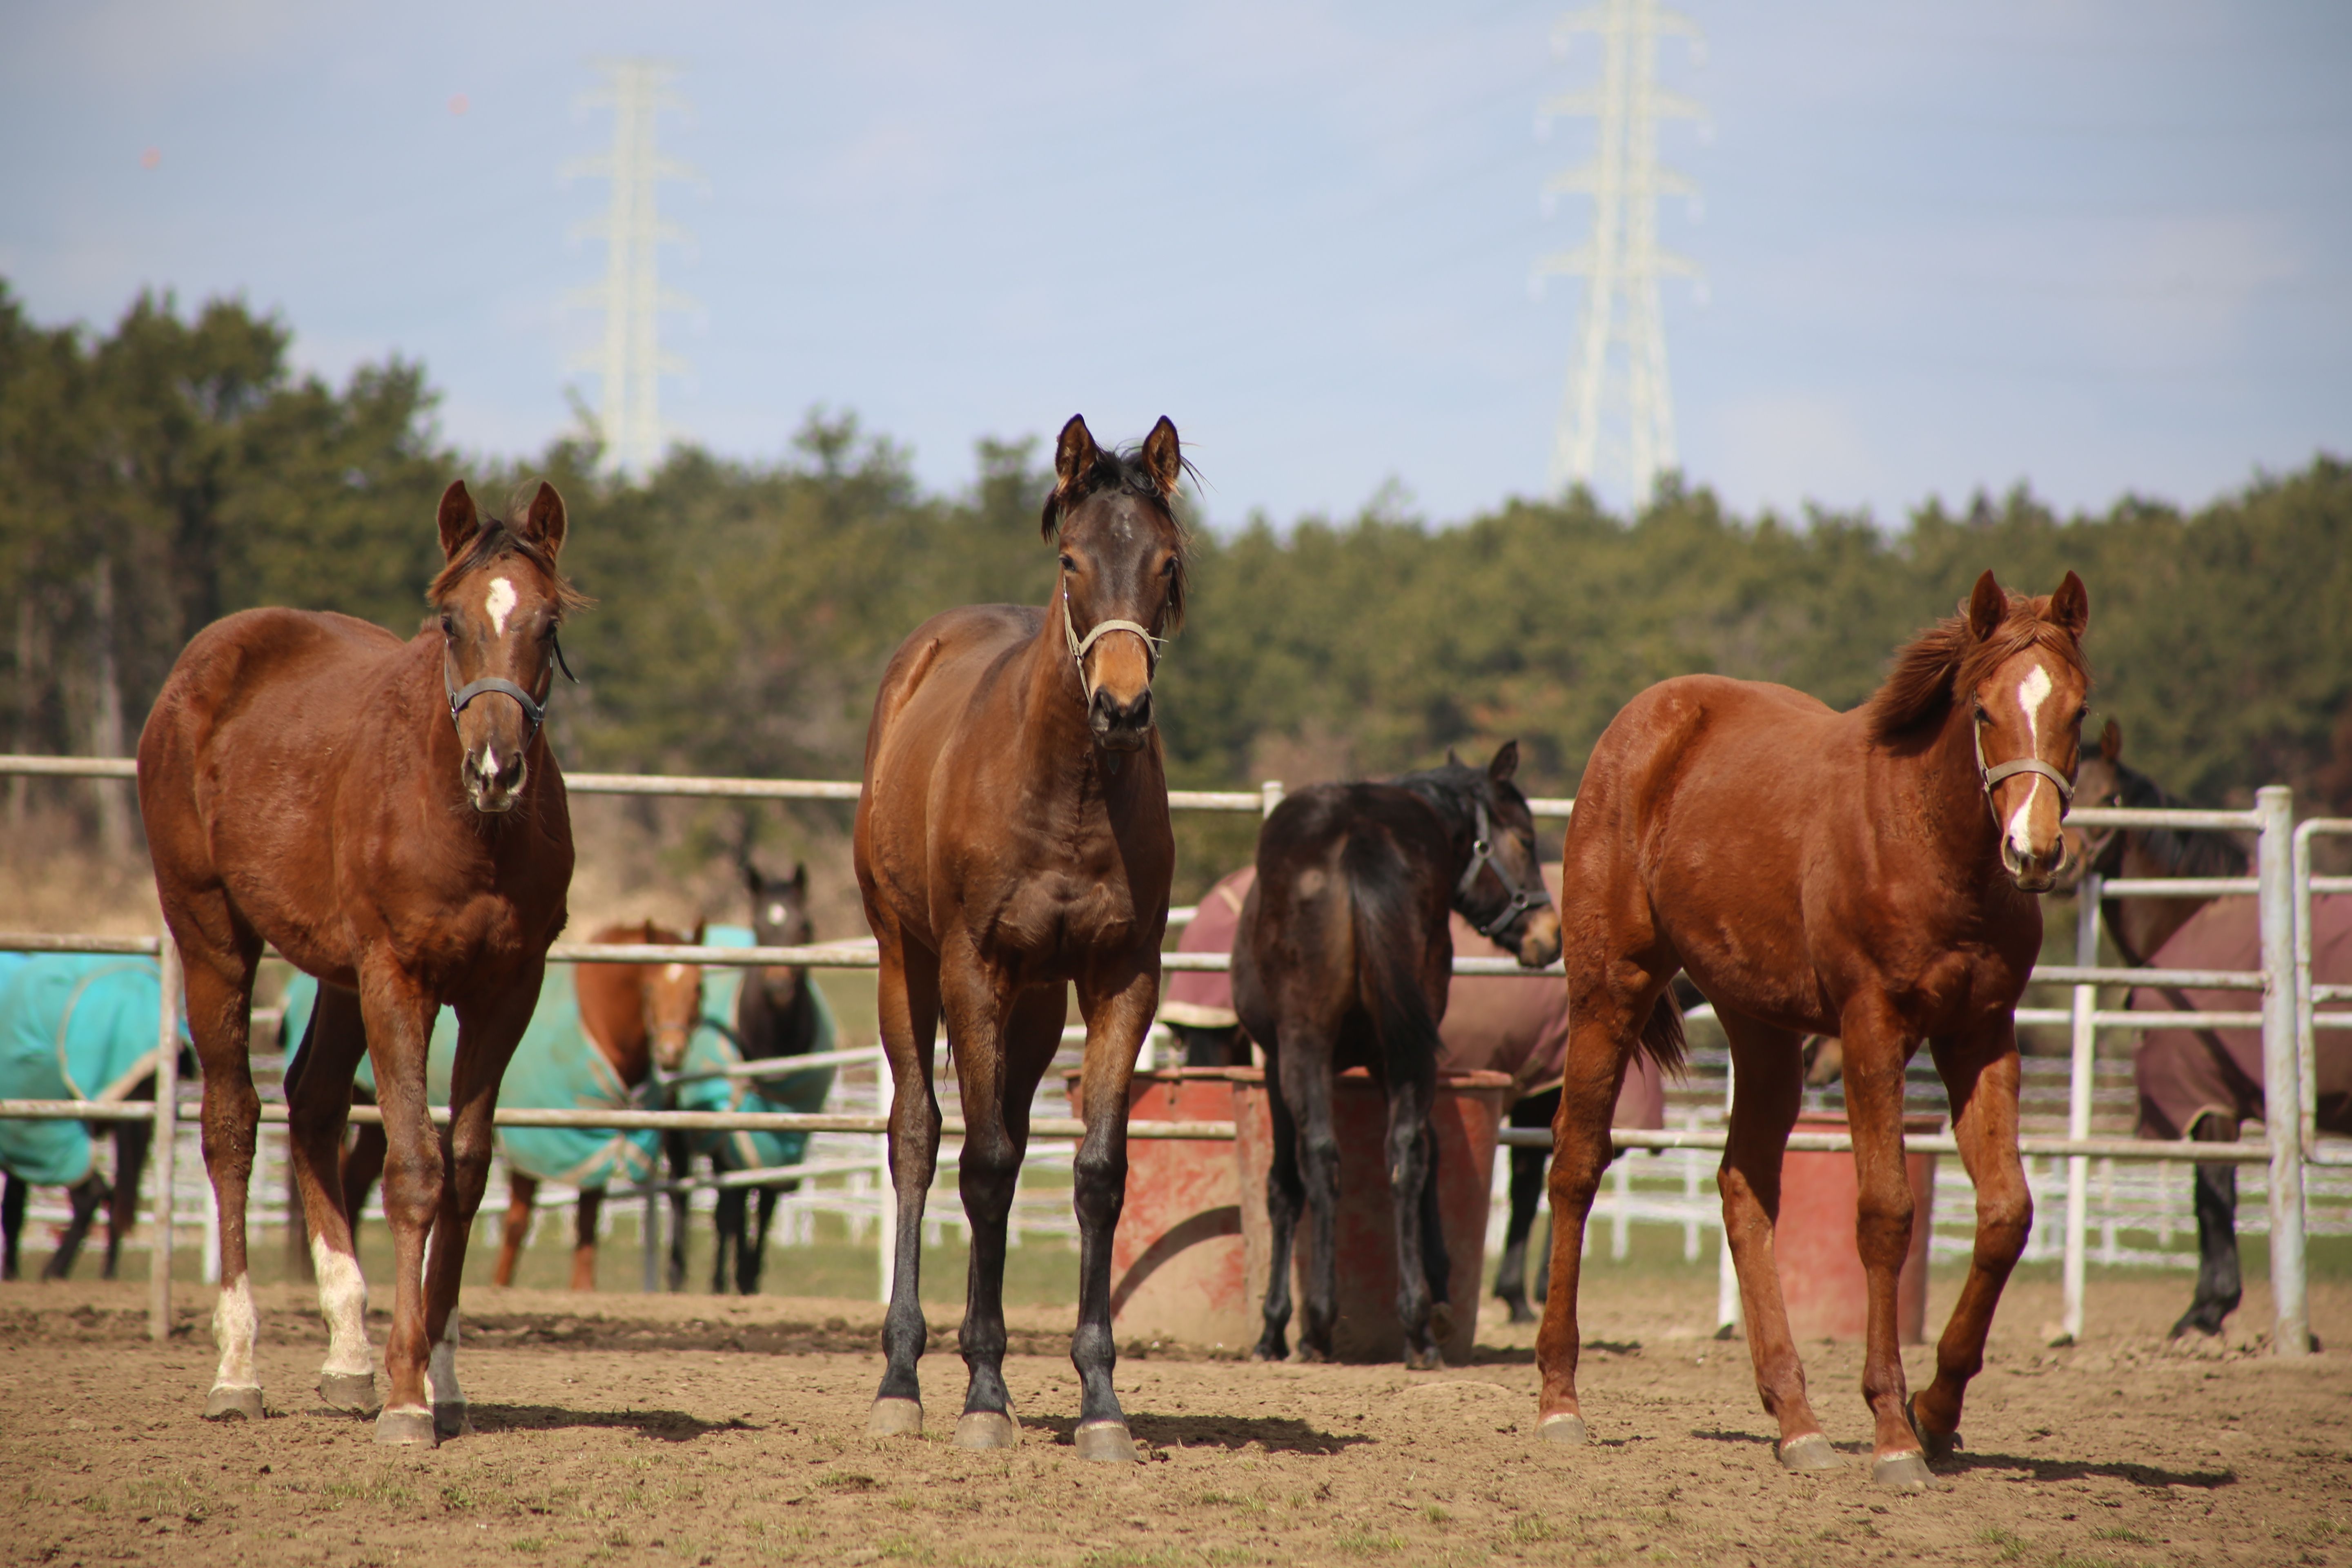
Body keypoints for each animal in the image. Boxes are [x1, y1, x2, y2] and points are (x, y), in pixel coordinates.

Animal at [138, 482, 583, 1448]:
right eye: (451, 623)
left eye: (548, 623)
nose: (497, 768)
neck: (470, 828)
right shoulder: (399, 980)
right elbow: (414, 1167)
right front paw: (409, 1395)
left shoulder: (508, 991)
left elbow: (467, 1169)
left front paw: (438, 1376)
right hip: (213, 937)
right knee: (233, 1123)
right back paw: (238, 1368)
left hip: (337, 976)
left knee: (311, 1105)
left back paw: (348, 1352)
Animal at [668, 865, 842, 1297]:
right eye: (759, 926)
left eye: (804, 925)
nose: (778, 987)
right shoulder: (728, 1135)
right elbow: (729, 1211)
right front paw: (720, 1282)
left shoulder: (784, 1139)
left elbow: (765, 1207)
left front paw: (748, 1277)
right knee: (682, 1192)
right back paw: (678, 1273)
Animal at [861, 414, 1195, 1457]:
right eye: (1071, 559)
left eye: (1167, 562)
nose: (1122, 710)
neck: (1069, 788)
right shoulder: (972, 969)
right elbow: (985, 1165)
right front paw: (980, 1398)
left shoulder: (1123, 979)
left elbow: (1094, 1173)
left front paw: (1099, 1401)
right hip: (906, 961)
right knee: (923, 1140)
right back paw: (902, 1379)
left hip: (1041, 1005)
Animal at [1232, 743, 1561, 1363]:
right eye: (1527, 840)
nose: (1548, 935)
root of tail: (1360, 831)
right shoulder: (1398, 1054)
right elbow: (1424, 1155)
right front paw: (1438, 1290)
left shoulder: (1276, 1060)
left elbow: (1284, 1186)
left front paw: (1271, 1328)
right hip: (1404, 1050)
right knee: (1407, 1155)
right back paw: (1417, 1328)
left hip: (1306, 1045)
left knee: (1322, 1159)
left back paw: (1318, 1324)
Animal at [1543, 571, 2098, 1495]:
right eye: (1983, 710)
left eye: (2079, 712)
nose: (2036, 848)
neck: (1930, 843)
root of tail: (1647, 719)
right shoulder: (1872, 1026)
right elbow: (1884, 1214)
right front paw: (1893, 1433)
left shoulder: (1981, 1035)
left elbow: (2006, 1213)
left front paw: (1937, 1410)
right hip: (1609, 991)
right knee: (1577, 1165)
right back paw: (1560, 1400)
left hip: (1763, 1030)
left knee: (1743, 1188)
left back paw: (1796, 1420)